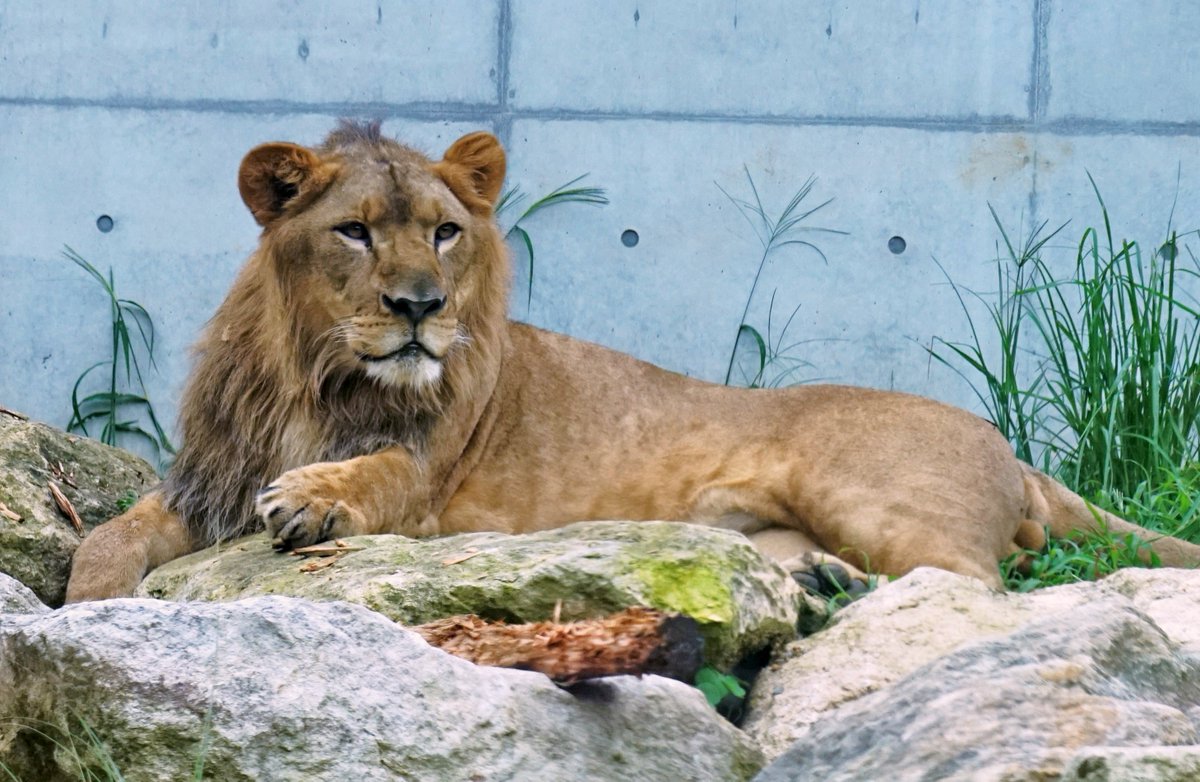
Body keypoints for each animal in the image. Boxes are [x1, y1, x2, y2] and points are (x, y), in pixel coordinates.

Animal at [63, 120, 1200, 604]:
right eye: (353, 231)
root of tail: (1010, 445)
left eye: (443, 232)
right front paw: (92, 606)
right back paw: (823, 579)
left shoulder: (426, 484)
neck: (314, 375)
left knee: (979, 585)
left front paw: (313, 498)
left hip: (872, 491)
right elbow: (108, 540)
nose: (421, 308)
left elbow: (377, 472)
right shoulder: (205, 480)